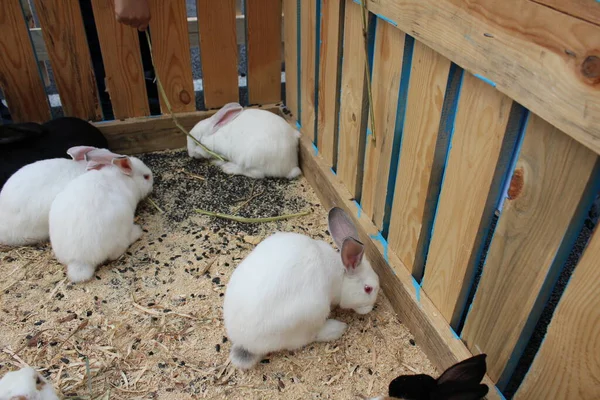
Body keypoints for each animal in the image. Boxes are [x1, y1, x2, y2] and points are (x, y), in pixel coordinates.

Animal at [223, 206, 378, 368]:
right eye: (368, 289)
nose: (370, 308)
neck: (341, 275)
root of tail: (245, 343)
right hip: (312, 314)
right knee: (309, 337)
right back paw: (338, 328)